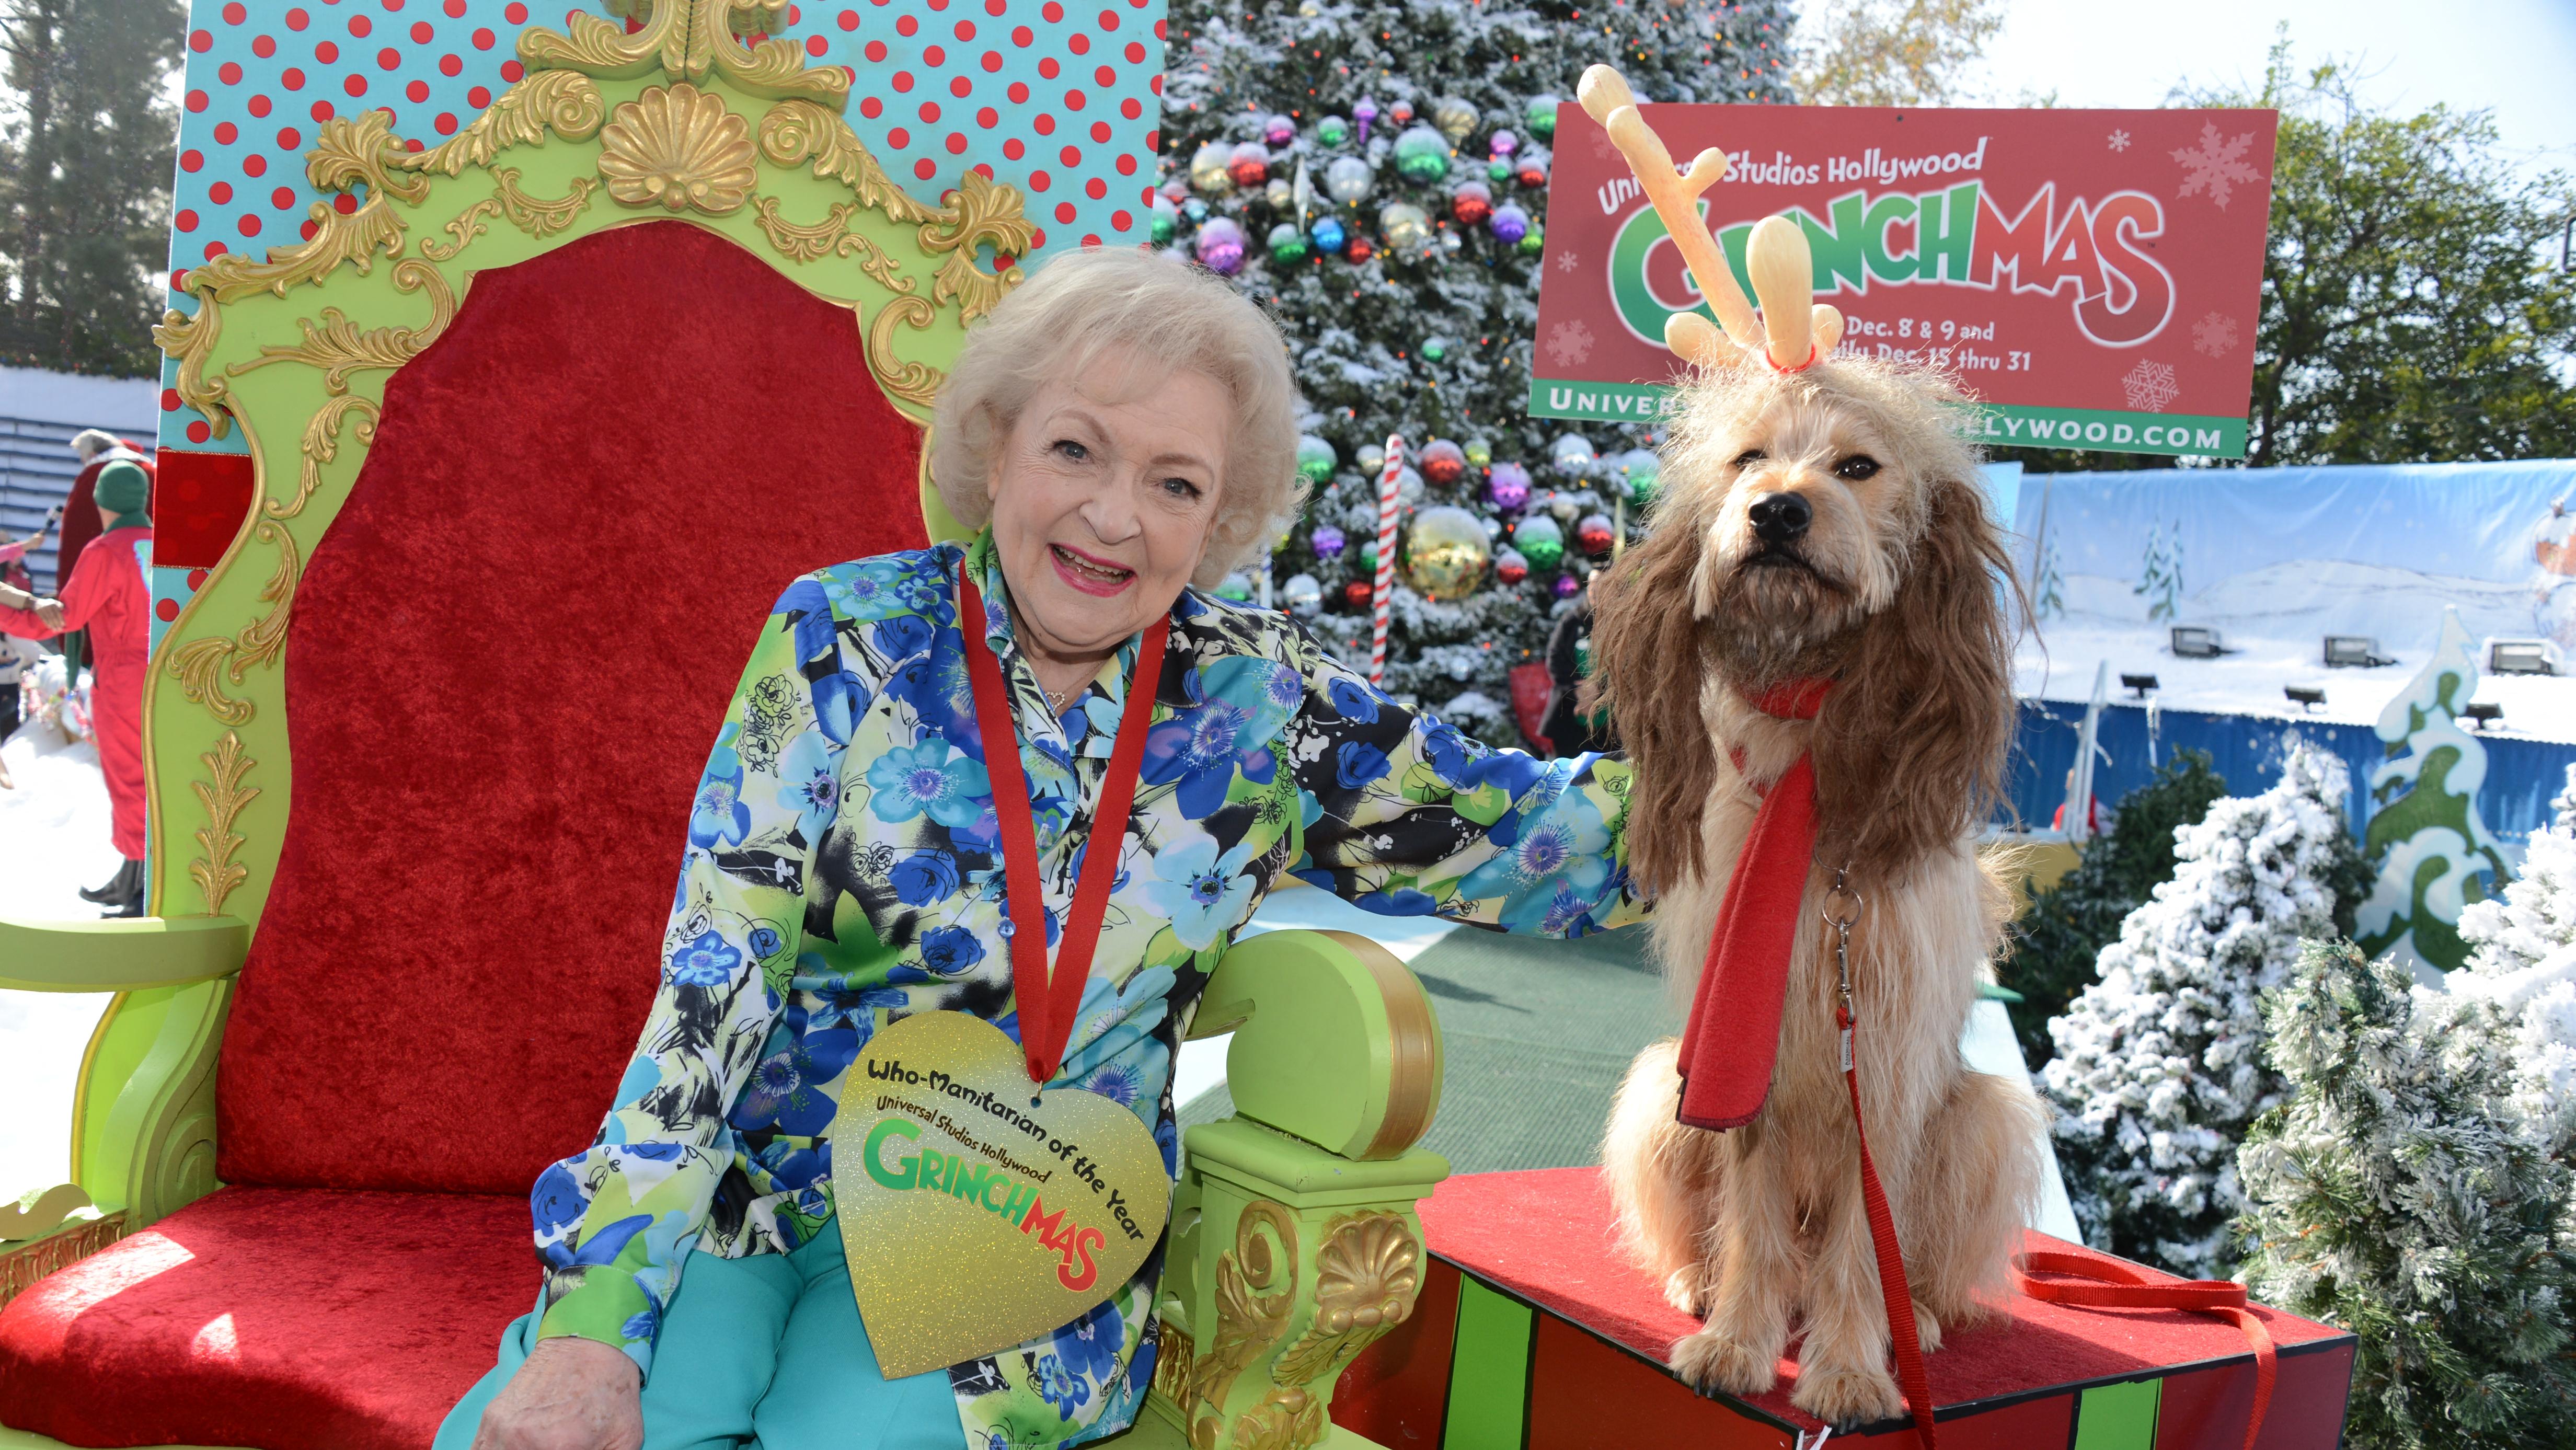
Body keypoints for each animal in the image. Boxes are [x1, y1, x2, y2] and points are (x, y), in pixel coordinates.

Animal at [1586, 355, 2050, 1432]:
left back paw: (1919, 1317)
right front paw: (1737, 1340)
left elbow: (1860, 1243)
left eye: (1858, 465)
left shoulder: (1879, 1058)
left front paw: (1848, 1367)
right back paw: (1701, 1283)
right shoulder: (1742, 1038)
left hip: (1984, 1118)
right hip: (1660, 1091)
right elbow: (1752, 1215)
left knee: (1912, 1254)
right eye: (1747, 456)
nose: (1778, 511)